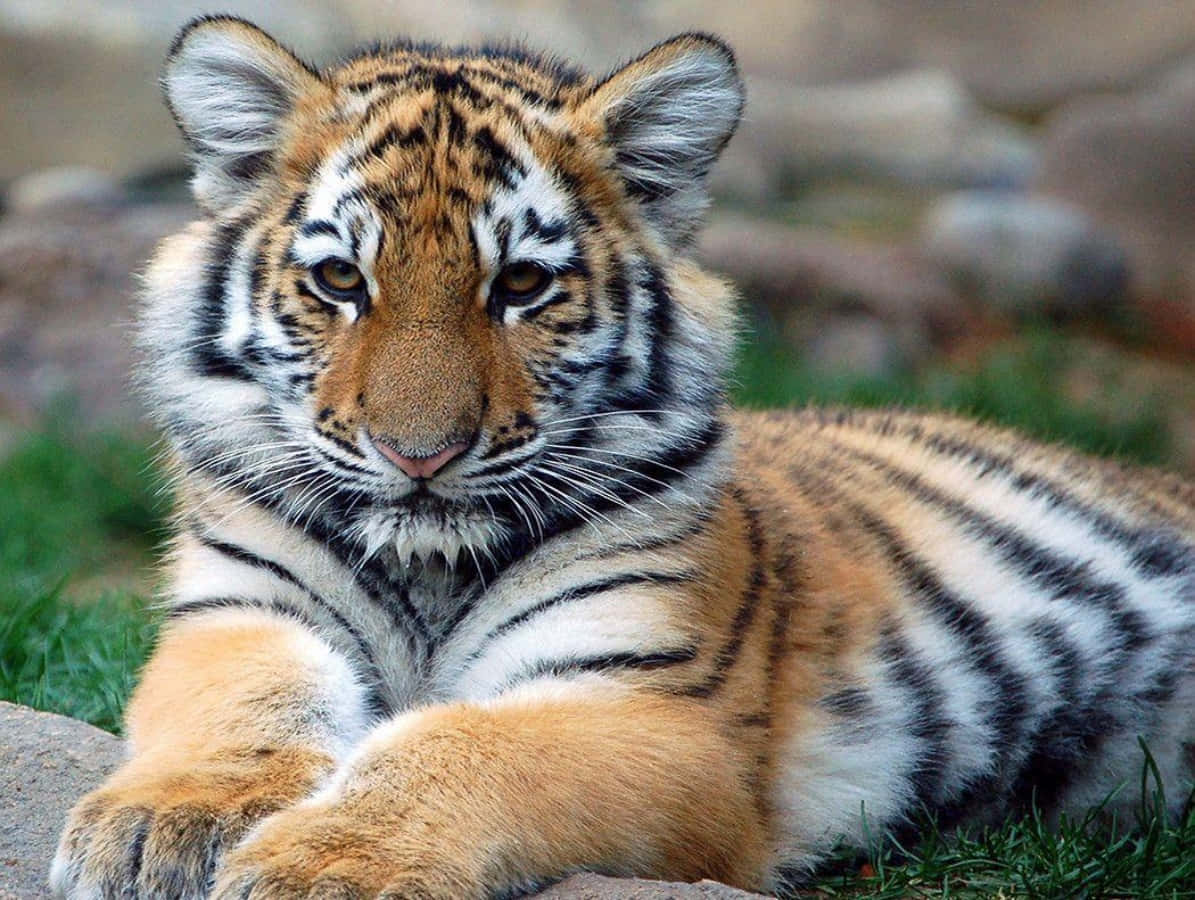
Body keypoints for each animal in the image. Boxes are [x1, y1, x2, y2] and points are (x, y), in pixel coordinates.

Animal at [50, 14, 1195, 900]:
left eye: (519, 286)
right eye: (340, 281)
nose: (419, 455)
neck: (426, 565)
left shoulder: (653, 712)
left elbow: (457, 746)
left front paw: (328, 865)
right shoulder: (241, 611)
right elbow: (240, 706)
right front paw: (163, 825)